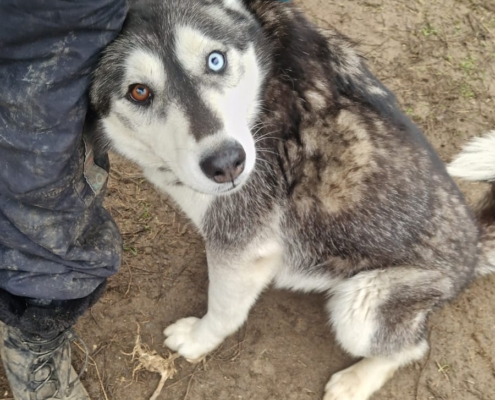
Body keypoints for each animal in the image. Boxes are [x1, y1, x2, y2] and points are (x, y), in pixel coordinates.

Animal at [88, 0, 495, 398]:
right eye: (139, 91)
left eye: (215, 60)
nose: (227, 163)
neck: (263, 91)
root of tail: (475, 246)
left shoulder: (243, 247)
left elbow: (223, 310)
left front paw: (198, 339)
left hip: (362, 304)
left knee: (412, 348)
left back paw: (354, 382)